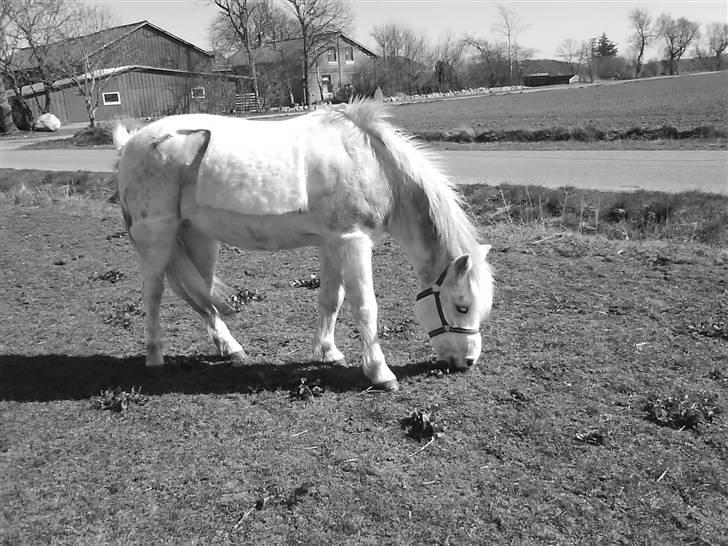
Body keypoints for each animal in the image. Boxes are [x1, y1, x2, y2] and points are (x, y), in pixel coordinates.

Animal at [112, 101, 494, 392]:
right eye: (461, 306)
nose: (468, 361)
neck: (371, 163)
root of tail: (129, 144)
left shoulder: (333, 242)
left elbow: (331, 299)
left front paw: (328, 351)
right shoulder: (354, 242)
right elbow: (365, 307)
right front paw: (380, 373)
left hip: (200, 239)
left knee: (202, 297)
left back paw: (230, 349)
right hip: (157, 238)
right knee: (154, 296)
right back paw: (155, 357)